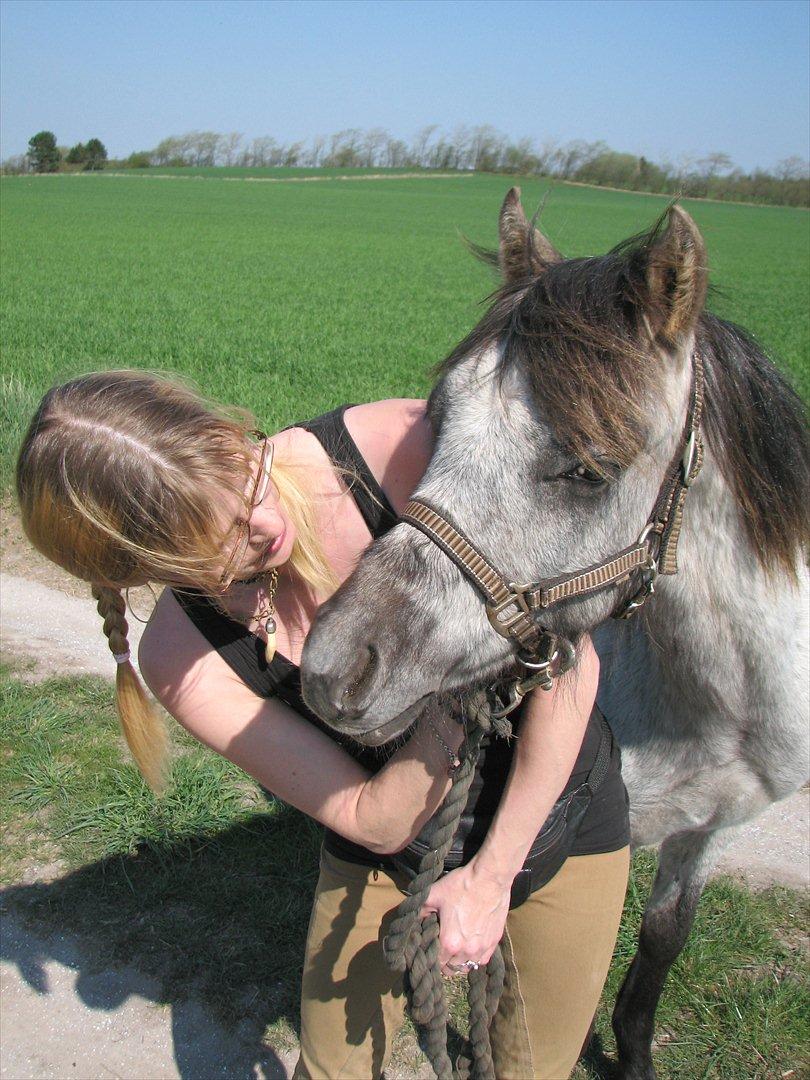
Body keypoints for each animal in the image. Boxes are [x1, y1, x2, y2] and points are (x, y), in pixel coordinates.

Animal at [300, 189, 810, 1078]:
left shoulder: (716, 826)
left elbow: (660, 945)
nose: (335, 668)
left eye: (587, 471)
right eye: (437, 422)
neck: (719, 699)